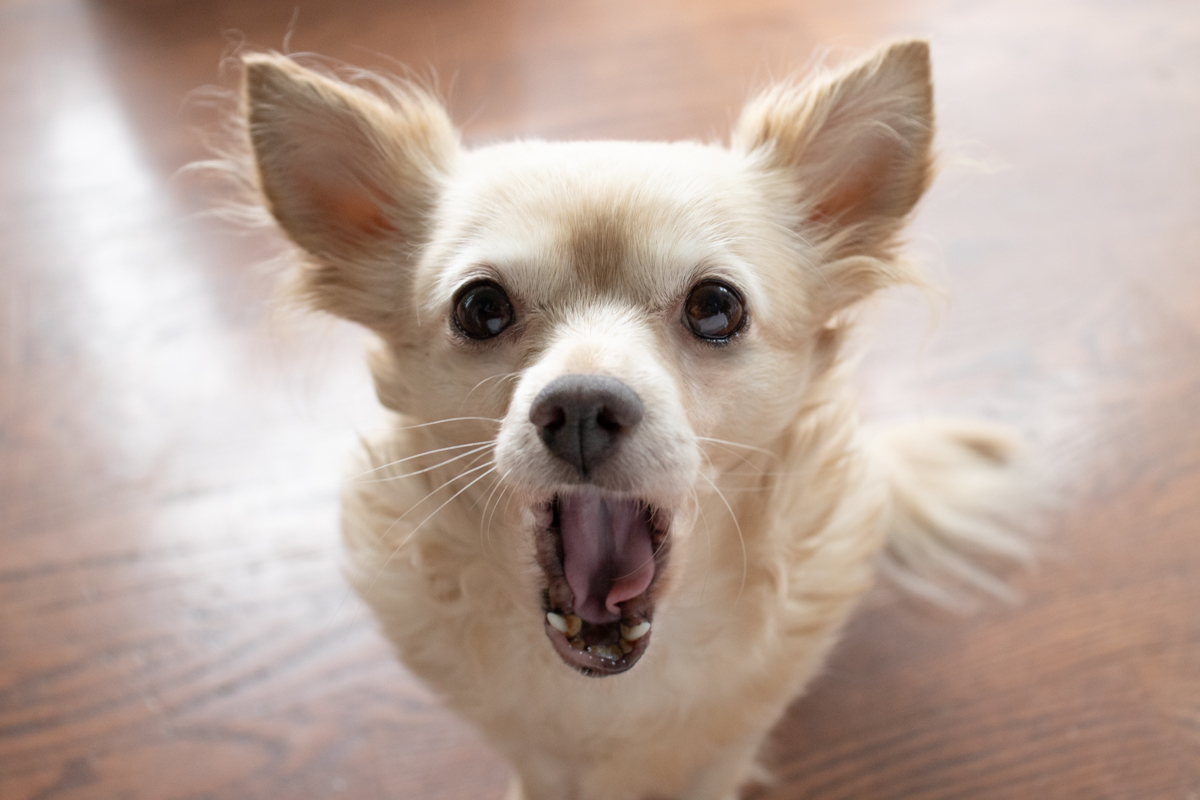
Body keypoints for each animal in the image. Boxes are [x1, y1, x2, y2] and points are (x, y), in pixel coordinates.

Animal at [234, 38, 1032, 800]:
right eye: (480, 308)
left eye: (715, 307)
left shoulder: (727, 741)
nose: (583, 406)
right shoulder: (535, 750)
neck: (610, 696)